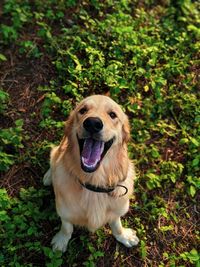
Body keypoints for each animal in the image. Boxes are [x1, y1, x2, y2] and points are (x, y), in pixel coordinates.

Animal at [43, 95, 138, 252]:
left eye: (112, 114)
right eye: (83, 110)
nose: (93, 123)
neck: (94, 182)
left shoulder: (117, 209)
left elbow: (116, 224)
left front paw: (124, 236)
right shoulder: (64, 210)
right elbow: (67, 227)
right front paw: (61, 241)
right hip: (57, 150)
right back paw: (49, 176)